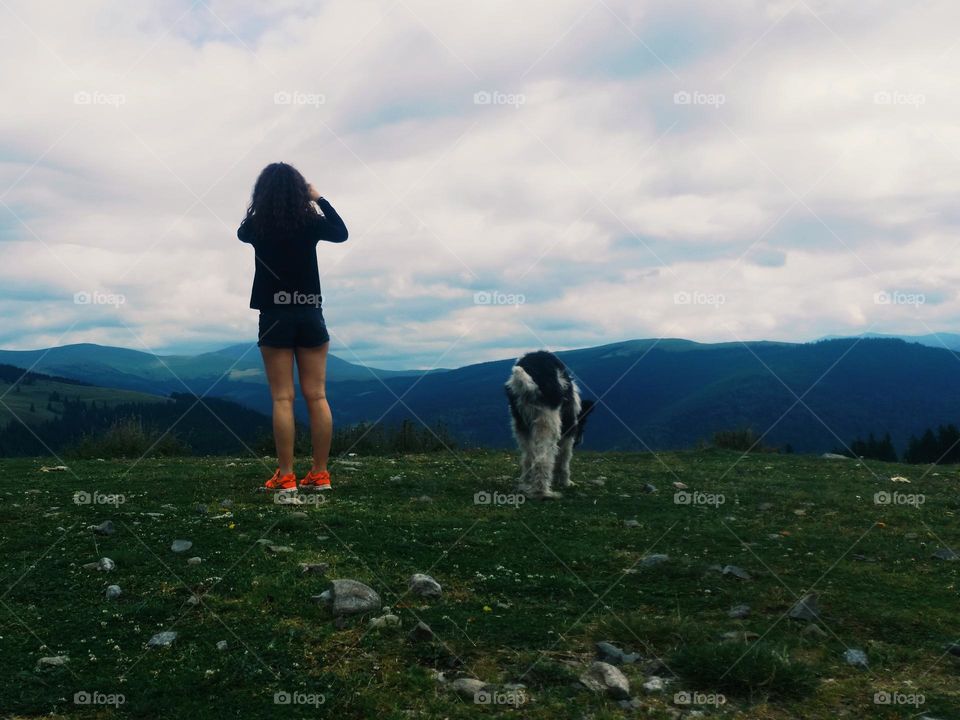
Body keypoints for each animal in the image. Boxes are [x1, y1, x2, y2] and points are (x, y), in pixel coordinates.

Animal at [506, 350, 596, 498]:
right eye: (582, 427)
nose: (580, 441)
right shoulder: (568, 431)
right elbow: (564, 459)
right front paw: (566, 482)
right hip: (547, 421)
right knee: (542, 458)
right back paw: (542, 492)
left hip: (520, 424)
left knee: (528, 458)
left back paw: (526, 485)